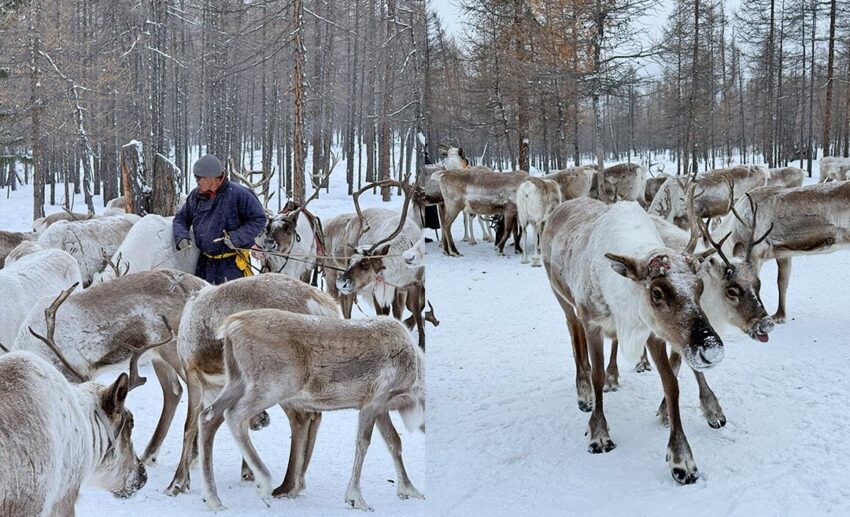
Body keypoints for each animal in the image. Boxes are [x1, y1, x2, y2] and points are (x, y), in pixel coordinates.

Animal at [164, 273, 340, 497]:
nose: (263, 420)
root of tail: (322, 305)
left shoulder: (193, 373)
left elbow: (189, 426)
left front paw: (177, 483)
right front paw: (247, 471)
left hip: (283, 378)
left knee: (300, 418)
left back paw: (288, 483)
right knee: (314, 415)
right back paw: (299, 478)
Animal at [197, 308, 425, 512]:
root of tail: (231, 327)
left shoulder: (380, 407)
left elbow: (394, 441)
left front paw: (409, 490)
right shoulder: (374, 400)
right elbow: (363, 444)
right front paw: (356, 499)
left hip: (237, 380)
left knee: (208, 416)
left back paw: (214, 501)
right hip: (276, 384)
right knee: (234, 415)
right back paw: (263, 481)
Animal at [541, 196, 723, 484]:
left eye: (699, 286)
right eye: (657, 292)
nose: (712, 348)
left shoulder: (652, 332)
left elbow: (671, 384)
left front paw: (681, 459)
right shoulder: (592, 322)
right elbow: (596, 377)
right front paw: (599, 433)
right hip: (562, 297)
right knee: (574, 337)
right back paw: (584, 394)